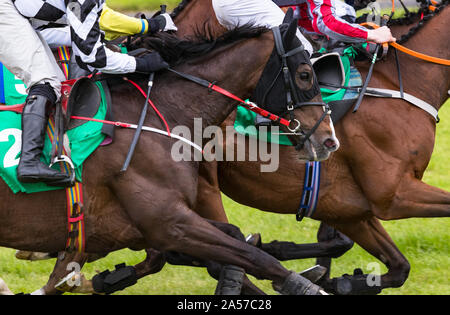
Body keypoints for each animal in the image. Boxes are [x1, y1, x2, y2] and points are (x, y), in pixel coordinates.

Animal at [0, 17, 338, 296]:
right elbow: (255, 256)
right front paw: (309, 286)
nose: (329, 139)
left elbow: (237, 240)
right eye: (305, 75)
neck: (158, 113)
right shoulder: (169, 223)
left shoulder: (149, 227)